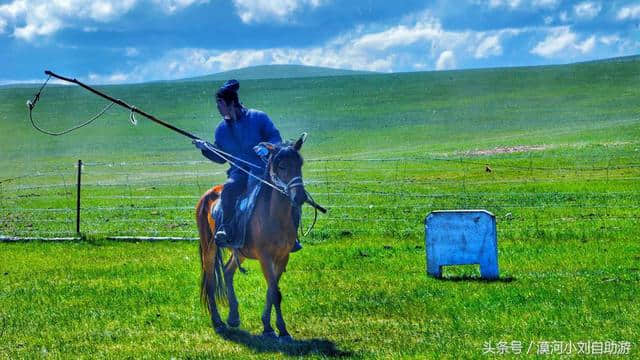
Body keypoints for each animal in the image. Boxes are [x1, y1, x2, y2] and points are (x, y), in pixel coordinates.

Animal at [196, 134, 308, 340]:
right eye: (282, 165)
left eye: (300, 163)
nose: (300, 196)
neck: (273, 215)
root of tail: (209, 194)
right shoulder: (265, 257)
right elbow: (274, 292)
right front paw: (277, 329)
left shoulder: (283, 257)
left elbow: (272, 292)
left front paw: (271, 327)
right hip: (209, 247)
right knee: (210, 281)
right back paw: (218, 322)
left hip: (240, 251)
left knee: (227, 271)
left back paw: (233, 317)